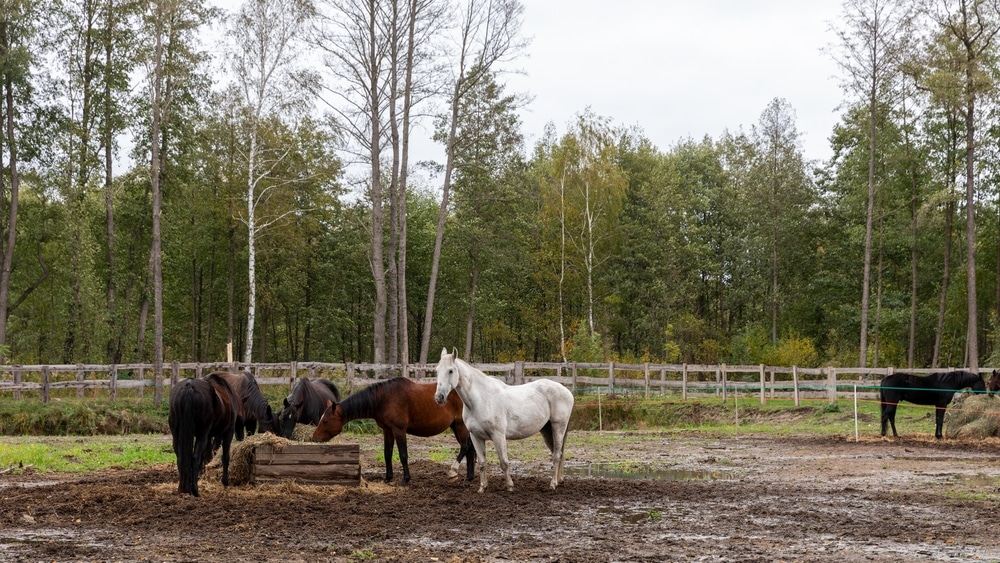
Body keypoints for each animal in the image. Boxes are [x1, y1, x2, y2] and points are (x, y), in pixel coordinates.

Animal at [312, 374, 472, 484]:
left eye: (325, 421)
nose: (314, 438)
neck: (383, 398)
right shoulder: (387, 430)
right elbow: (387, 454)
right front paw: (388, 478)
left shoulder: (398, 430)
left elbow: (403, 455)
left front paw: (406, 479)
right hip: (456, 426)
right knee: (470, 449)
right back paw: (469, 477)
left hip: (460, 425)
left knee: (465, 447)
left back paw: (453, 471)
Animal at [434, 348, 576, 494]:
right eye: (437, 370)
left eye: (451, 370)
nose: (439, 397)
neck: (481, 399)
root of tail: (566, 391)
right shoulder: (476, 437)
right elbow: (482, 463)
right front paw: (482, 487)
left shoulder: (498, 435)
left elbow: (504, 462)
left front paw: (510, 486)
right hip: (547, 431)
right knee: (557, 453)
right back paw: (559, 481)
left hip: (558, 428)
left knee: (556, 455)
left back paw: (553, 484)